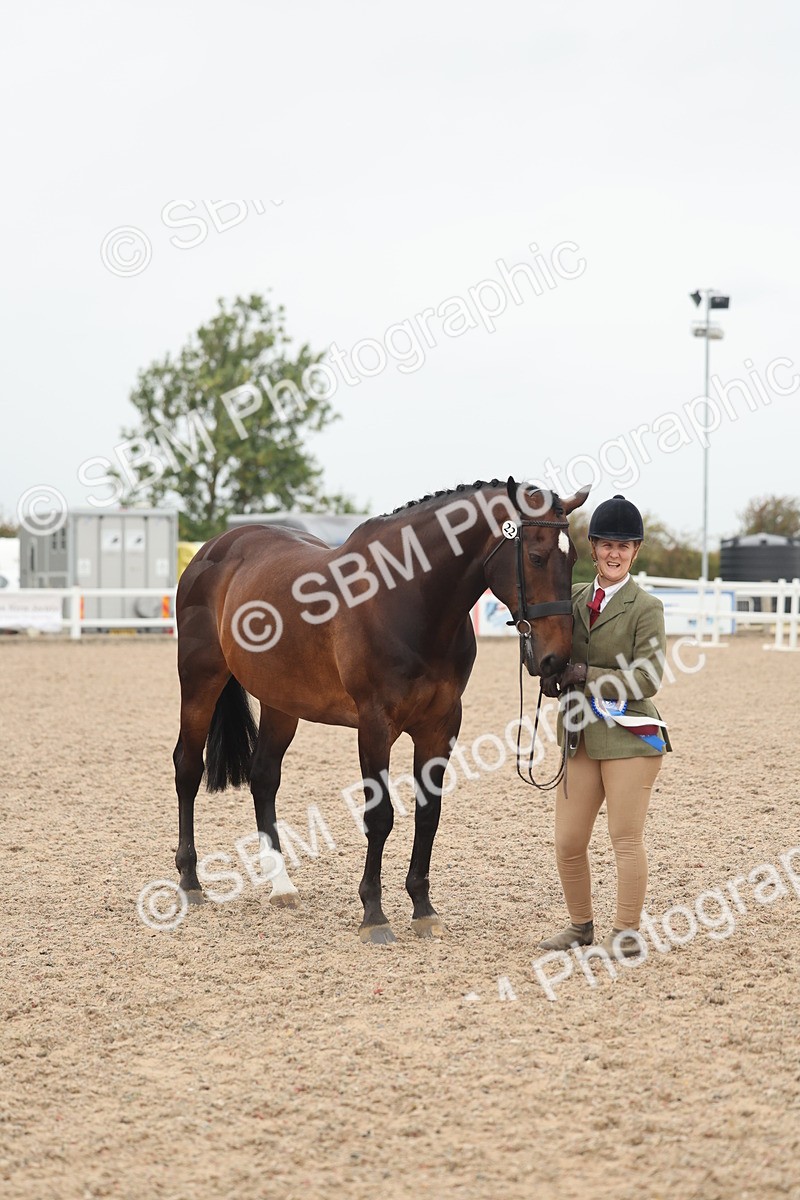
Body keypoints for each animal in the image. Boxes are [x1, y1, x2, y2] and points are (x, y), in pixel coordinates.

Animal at [172, 477, 589, 943]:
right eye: (536, 557)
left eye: (574, 558)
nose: (555, 660)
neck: (409, 601)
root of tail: (213, 549)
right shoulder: (374, 726)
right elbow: (380, 815)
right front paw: (374, 913)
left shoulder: (440, 726)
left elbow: (428, 814)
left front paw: (423, 909)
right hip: (200, 683)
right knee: (187, 768)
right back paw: (191, 881)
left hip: (281, 703)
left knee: (263, 777)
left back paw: (281, 885)